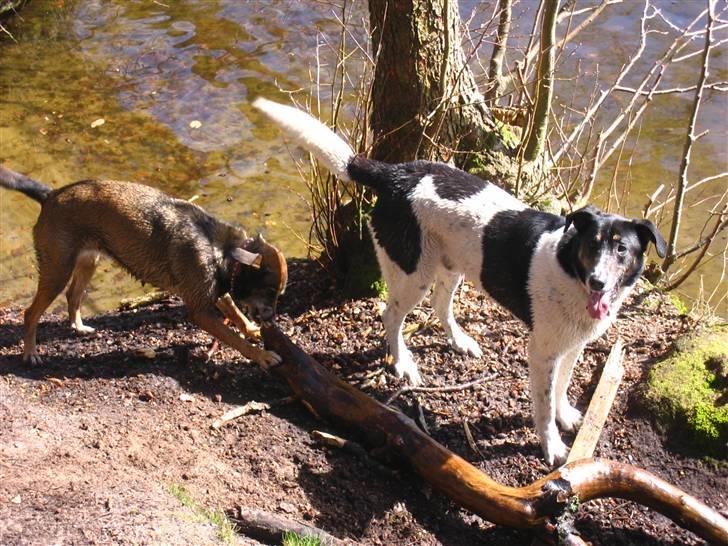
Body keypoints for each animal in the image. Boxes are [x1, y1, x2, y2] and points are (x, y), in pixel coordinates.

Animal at [0, 165, 288, 366]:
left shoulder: (217, 291)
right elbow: (235, 339)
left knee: (73, 296)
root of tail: (51, 195)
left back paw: (79, 327)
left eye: (278, 293)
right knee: (30, 313)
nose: (272, 320)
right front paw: (262, 356)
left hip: (88, 261)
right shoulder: (200, 311)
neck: (224, 250)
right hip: (58, 270)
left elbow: (237, 316)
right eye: (270, 291)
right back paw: (30, 354)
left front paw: (252, 330)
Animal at [255, 98, 664, 464]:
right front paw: (553, 447)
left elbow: (562, 388)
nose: (598, 283)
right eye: (591, 245)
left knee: (439, 306)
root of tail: (395, 175)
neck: (570, 270)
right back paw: (403, 363)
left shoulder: (572, 346)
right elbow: (544, 406)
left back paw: (460, 341)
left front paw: (567, 417)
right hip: (413, 272)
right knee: (391, 316)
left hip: (452, 265)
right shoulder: (542, 350)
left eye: (622, 250)